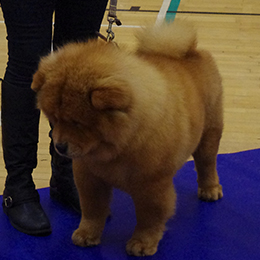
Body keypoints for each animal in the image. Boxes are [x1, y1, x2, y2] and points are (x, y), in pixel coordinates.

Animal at [31, 20, 223, 256]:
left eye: (77, 123)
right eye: (54, 119)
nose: (59, 146)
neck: (119, 147)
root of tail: (194, 52)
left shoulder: (152, 185)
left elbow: (149, 218)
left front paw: (141, 244)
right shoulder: (89, 177)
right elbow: (92, 210)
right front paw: (86, 235)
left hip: (209, 133)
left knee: (207, 163)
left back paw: (210, 190)